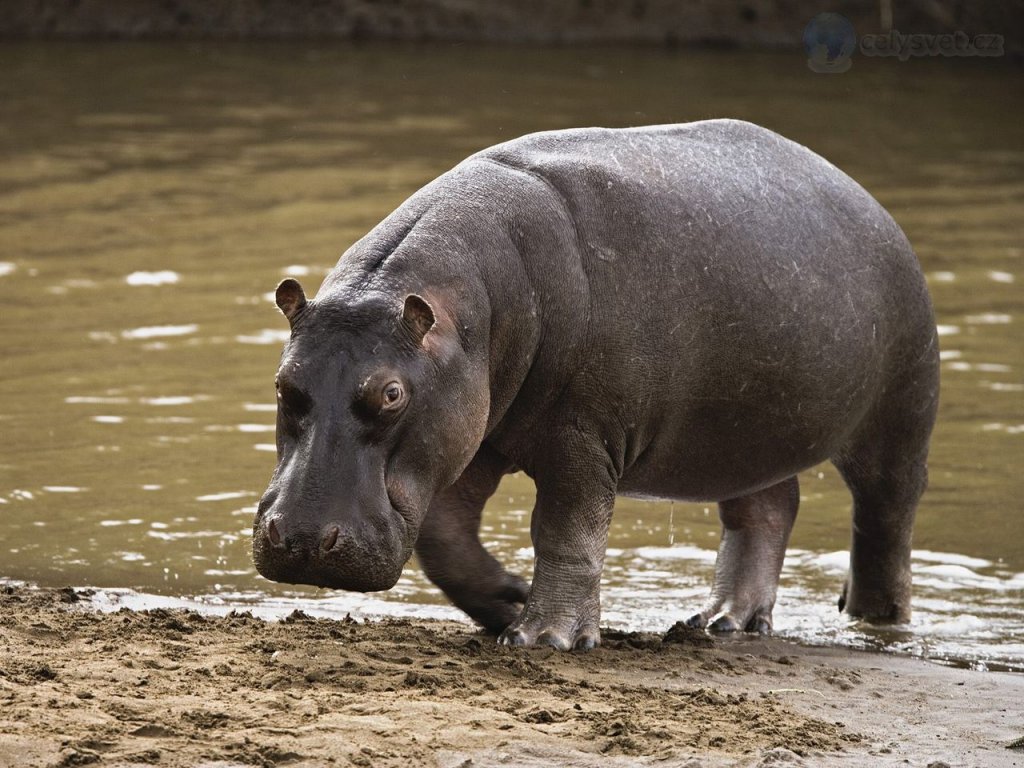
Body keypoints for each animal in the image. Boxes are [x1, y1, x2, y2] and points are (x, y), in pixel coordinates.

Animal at [252, 119, 939, 650]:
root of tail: (870, 201)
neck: (467, 310)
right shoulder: (471, 435)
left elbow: (566, 531)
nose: (304, 539)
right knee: (767, 509)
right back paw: (724, 622)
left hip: (899, 416)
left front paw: (545, 638)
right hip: (748, 433)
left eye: (391, 394)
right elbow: (445, 540)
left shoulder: (582, 438)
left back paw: (876, 622)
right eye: (284, 383)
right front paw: (510, 600)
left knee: (885, 523)